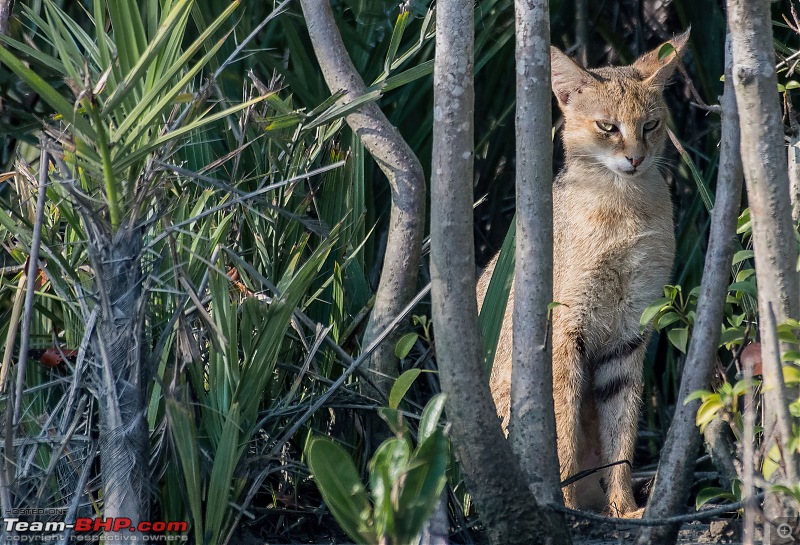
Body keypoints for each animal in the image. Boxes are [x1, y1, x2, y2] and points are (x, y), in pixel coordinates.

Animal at [476, 31, 688, 516]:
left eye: (650, 125)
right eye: (607, 127)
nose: (635, 159)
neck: (624, 209)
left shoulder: (630, 333)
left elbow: (621, 435)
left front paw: (623, 509)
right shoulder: (565, 329)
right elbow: (563, 429)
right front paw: (568, 505)